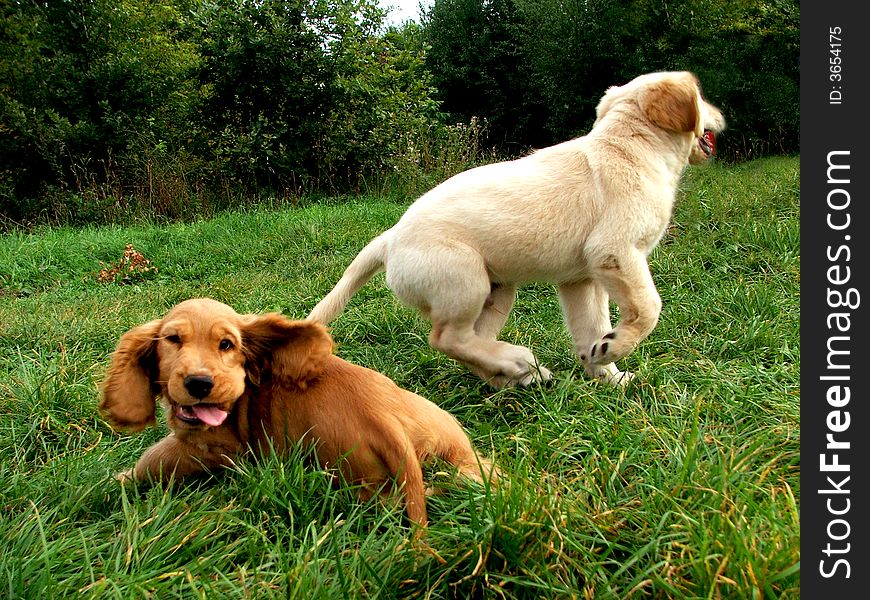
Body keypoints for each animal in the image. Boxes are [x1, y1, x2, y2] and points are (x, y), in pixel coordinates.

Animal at [100, 298, 498, 528]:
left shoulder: (209, 447)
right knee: (479, 474)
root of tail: (385, 420)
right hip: (450, 440)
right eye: (172, 340)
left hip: (347, 476)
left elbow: (156, 458)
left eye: (226, 344)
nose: (199, 383)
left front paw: (115, 481)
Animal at [312, 71, 728, 390]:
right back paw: (518, 362)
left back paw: (515, 374)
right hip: (465, 282)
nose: (723, 114)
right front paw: (618, 347)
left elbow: (591, 329)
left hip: (497, 291)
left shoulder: (581, 280)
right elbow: (648, 307)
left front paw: (608, 373)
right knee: (447, 338)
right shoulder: (616, 250)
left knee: (469, 344)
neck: (629, 146)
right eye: (702, 97)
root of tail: (391, 237)